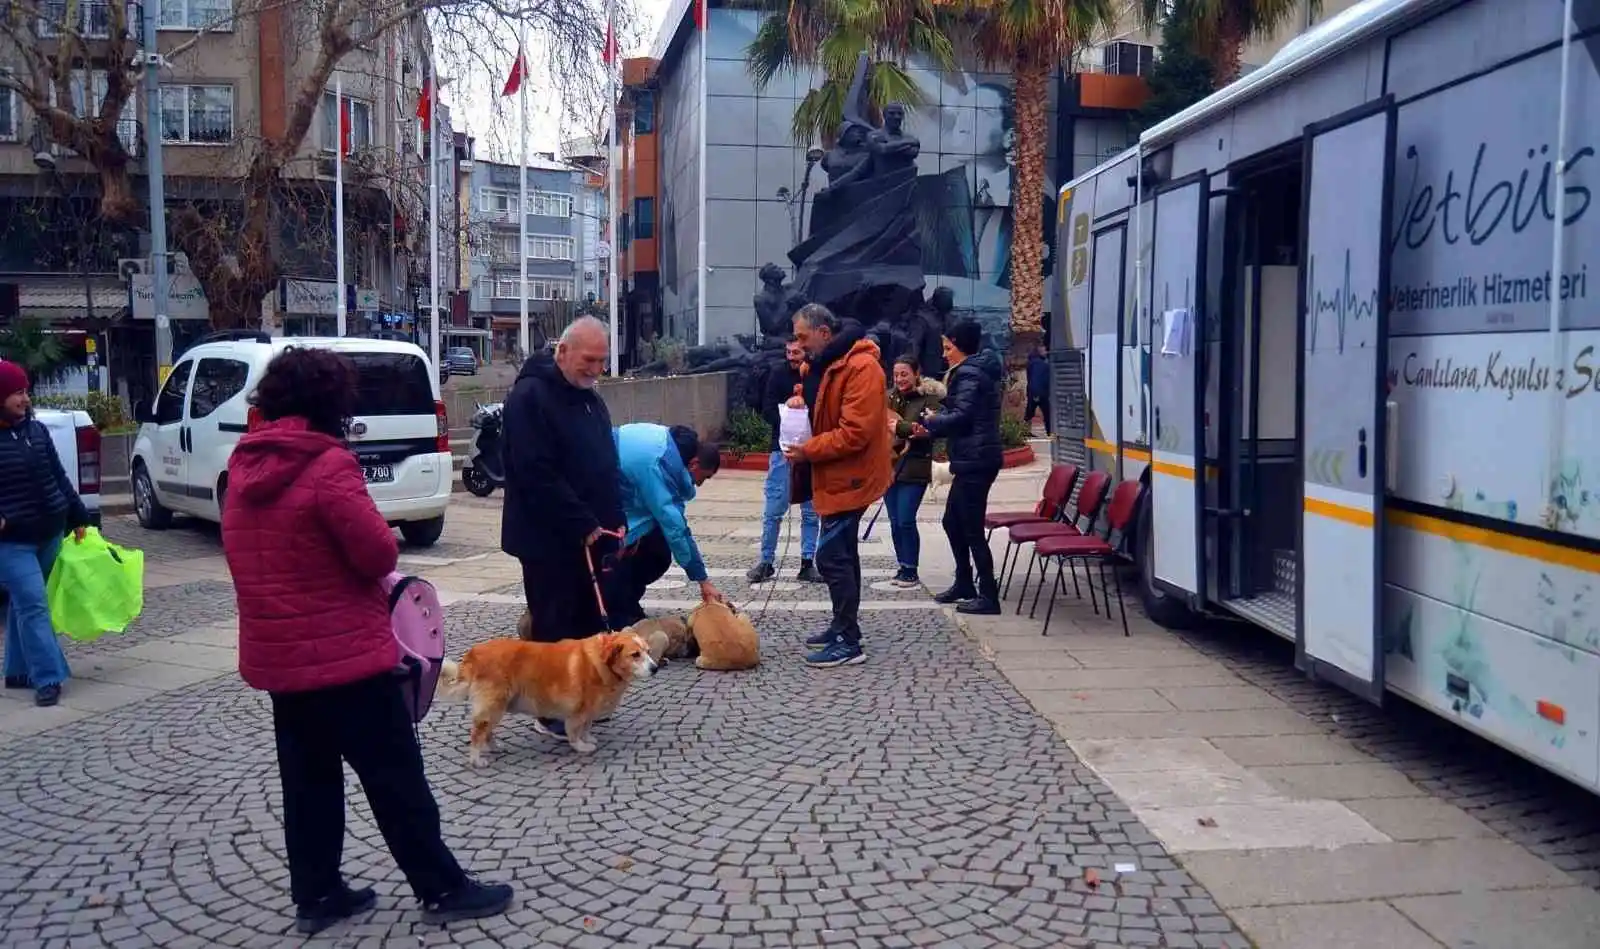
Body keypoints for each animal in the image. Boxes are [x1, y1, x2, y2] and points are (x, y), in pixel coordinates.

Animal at [438, 630, 656, 761]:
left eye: (648, 651)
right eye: (635, 655)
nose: (655, 668)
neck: (602, 662)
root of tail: (473, 654)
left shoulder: (589, 710)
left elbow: (587, 726)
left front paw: (588, 738)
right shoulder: (579, 710)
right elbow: (575, 731)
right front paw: (580, 746)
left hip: (496, 706)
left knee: (487, 731)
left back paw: (492, 747)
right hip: (493, 705)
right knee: (478, 732)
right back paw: (477, 759)